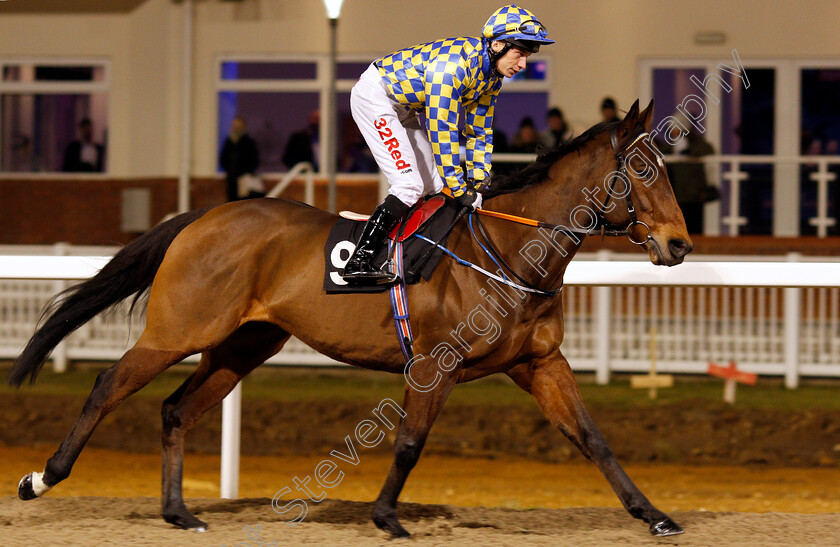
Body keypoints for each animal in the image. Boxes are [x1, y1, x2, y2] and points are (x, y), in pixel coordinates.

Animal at [9, 99, 692, 540]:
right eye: (644, 170)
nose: (680, 244)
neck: (507, 251)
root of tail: (205, 215)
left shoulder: (539, 362)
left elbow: (594, 439)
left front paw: (653, 514)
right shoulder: (435, 365)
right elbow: (410, 441)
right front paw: (387, 517)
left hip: (244, 344)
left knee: (175, 408)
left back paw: (178, 512)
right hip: (180, 329)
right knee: (108, 385)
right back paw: (42, 478)